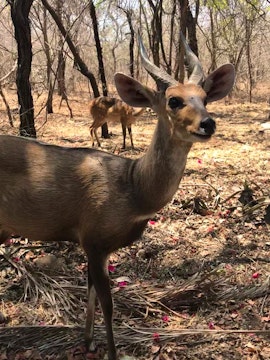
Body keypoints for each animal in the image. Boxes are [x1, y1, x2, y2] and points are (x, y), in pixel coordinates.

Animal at [0, 34, 234, 360]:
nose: (208, 123)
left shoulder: (94, 247)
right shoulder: (94, 241)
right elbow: (108, 305)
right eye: (173, 100)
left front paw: (88, 341)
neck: (131, 187)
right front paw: (110, 352)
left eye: (205, 97)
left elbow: (91, 294)